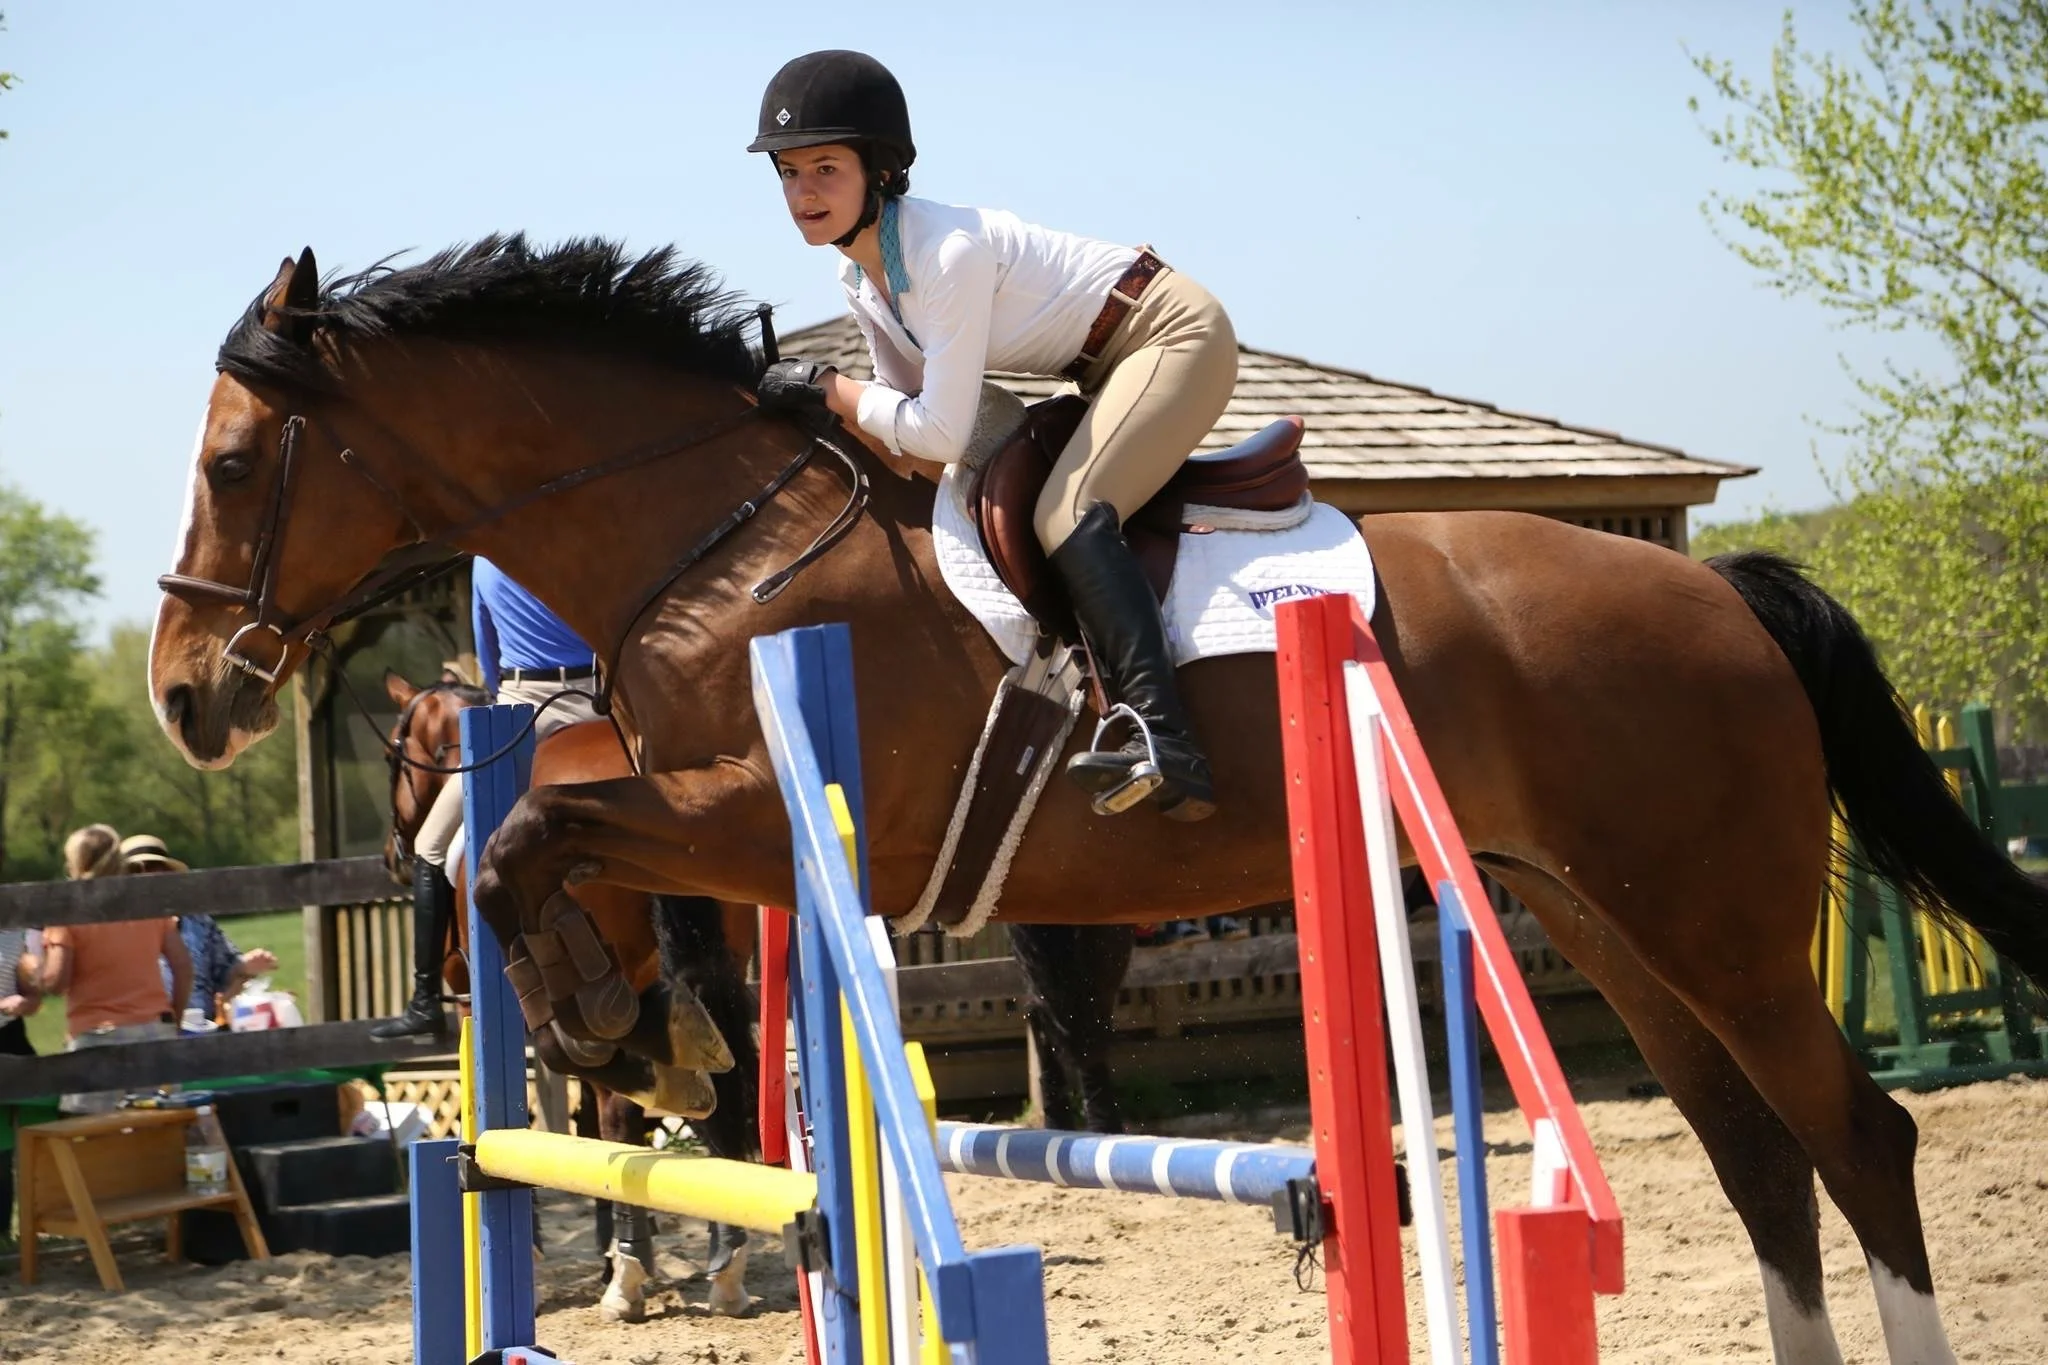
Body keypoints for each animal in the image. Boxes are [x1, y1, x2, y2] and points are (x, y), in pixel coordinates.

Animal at [382, 669, 759, 1320]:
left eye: (391, 758)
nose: (393, 857)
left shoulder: (478, 1005)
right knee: (716, 1073)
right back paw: (723, 1263)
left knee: (619, 1103)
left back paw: (626, 1280)